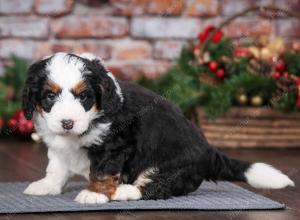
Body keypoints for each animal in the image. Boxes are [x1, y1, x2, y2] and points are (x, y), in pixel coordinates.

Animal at [22, 52, 294, 204]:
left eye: (84, 96)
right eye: (49, 96)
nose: (67, 122)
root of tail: (209, 151)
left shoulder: (115, 144)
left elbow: (102, 170)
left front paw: (95, 194)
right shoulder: (59, 147)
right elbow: (56, 168)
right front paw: (46, 186)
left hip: (171, 166)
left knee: (156, 186)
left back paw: (125, 191)